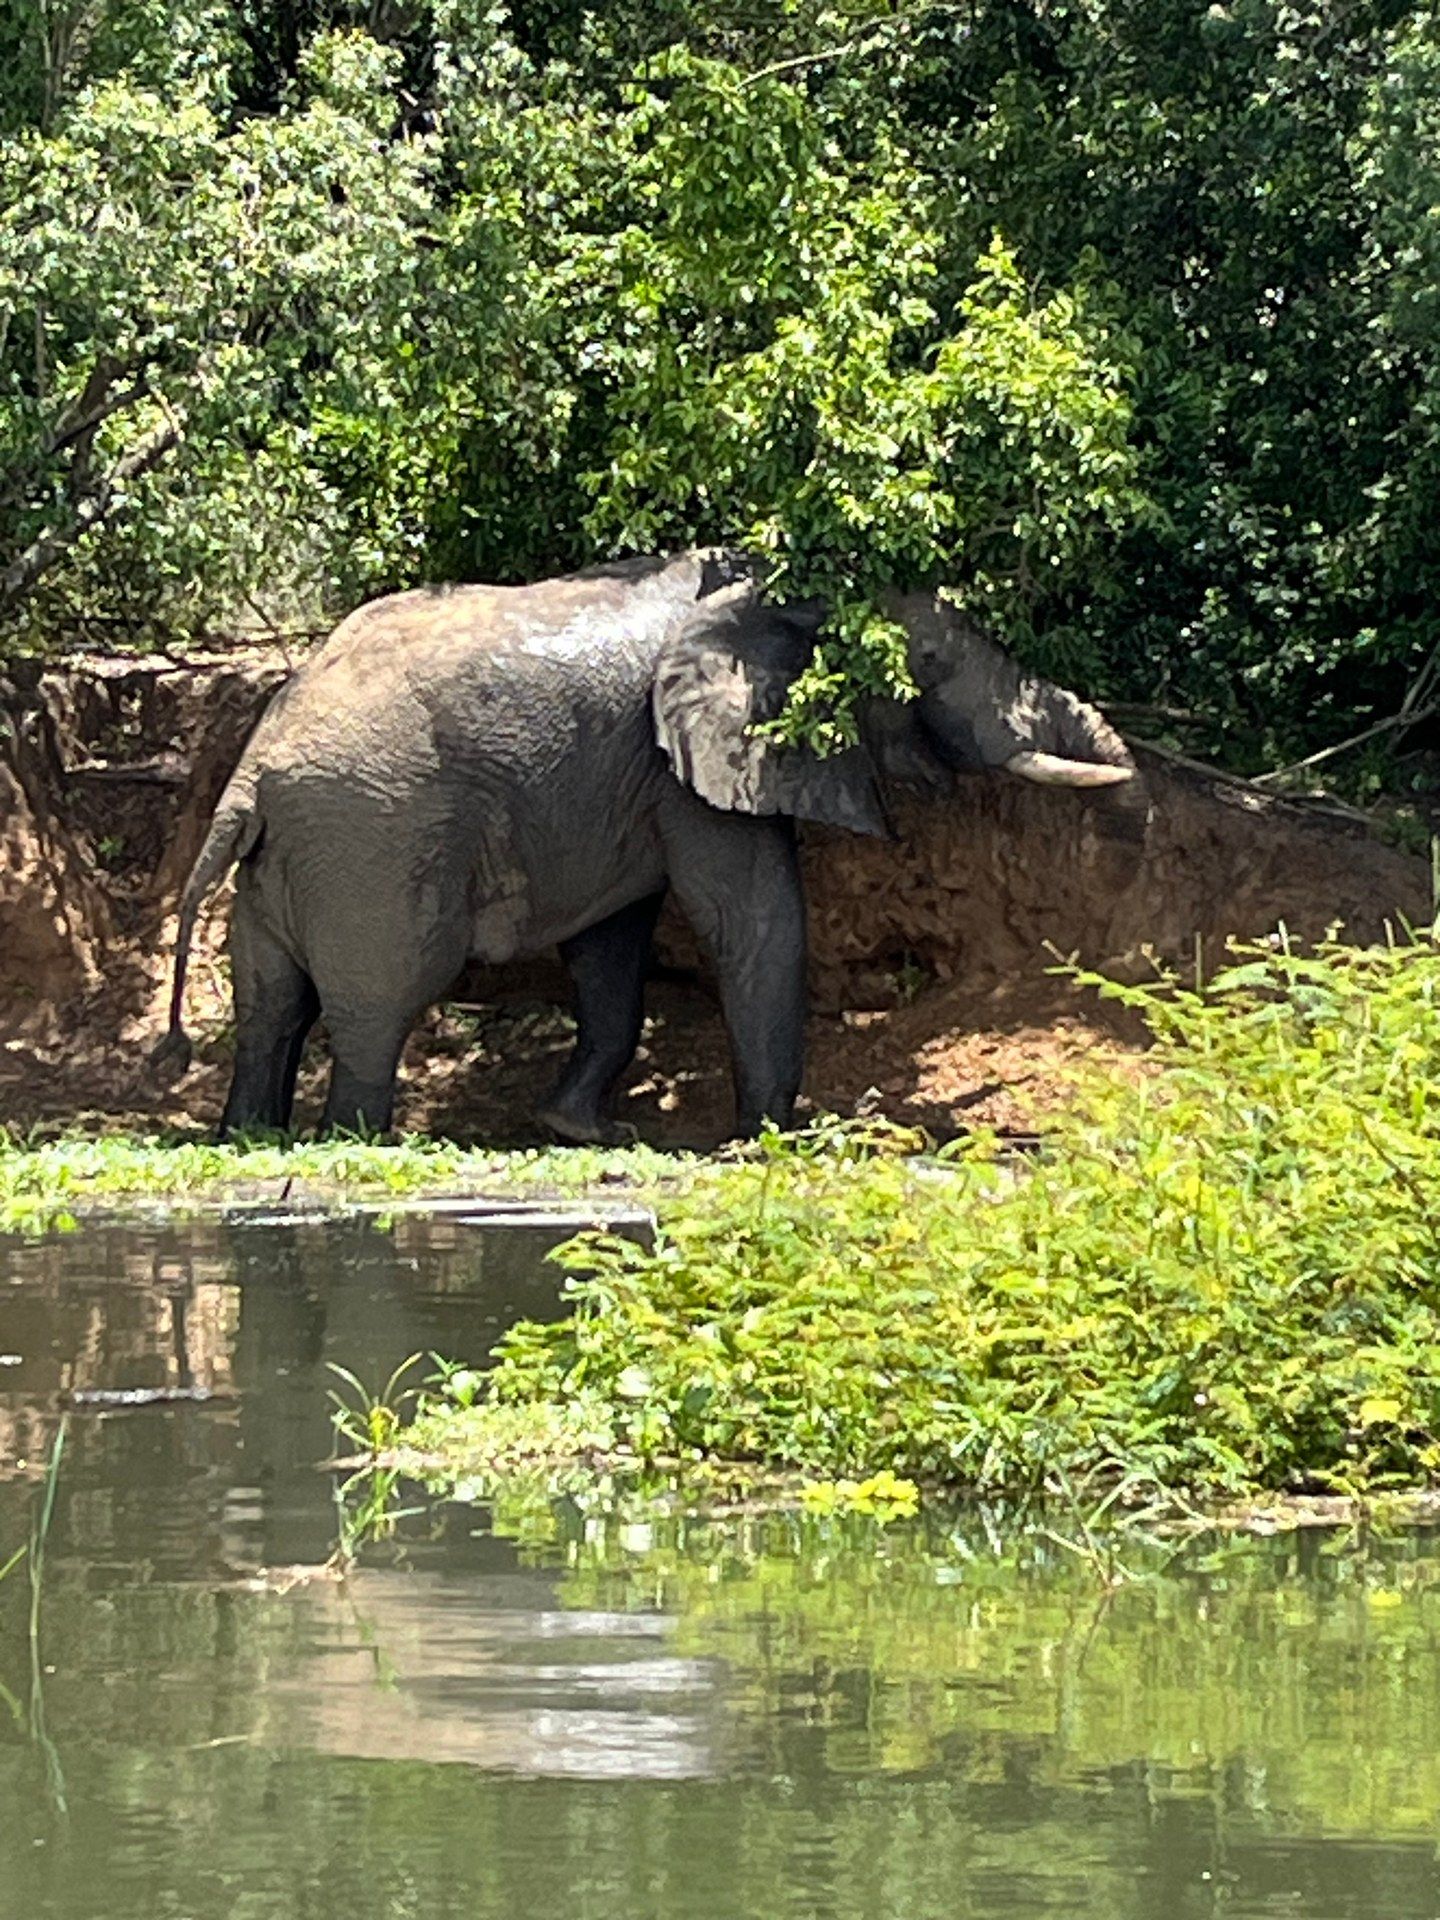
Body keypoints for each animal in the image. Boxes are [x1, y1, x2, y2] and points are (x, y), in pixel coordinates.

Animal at [156, 550, 1143, 1141]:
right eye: (928, 666)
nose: (1133, 828)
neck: (781, 585)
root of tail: (250, 775)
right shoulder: (690, 765)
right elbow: (749, 913)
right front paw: (776, 1136)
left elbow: (612, 941)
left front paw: (583, 1133)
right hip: (372, 843)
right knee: (378, 1003)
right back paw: (359, 1136)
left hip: (292, 858)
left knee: (272, 1005)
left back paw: (250, 1135)